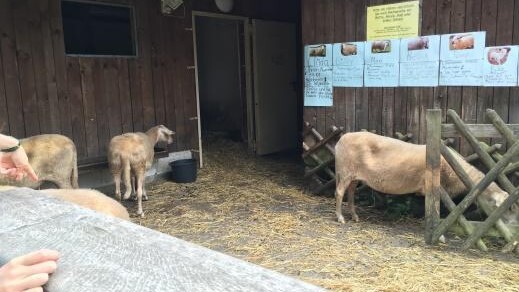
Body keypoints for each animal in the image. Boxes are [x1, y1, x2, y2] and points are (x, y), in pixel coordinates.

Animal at [336, 132, 516, 224]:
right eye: (508, 208)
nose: (514, 225)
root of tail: (341, 139)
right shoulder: (432, 186)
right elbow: (434, 208)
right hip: (345, 172)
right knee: (339, 193)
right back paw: (340, 218)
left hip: (354, 176)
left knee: (350, 193)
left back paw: (354, 216)